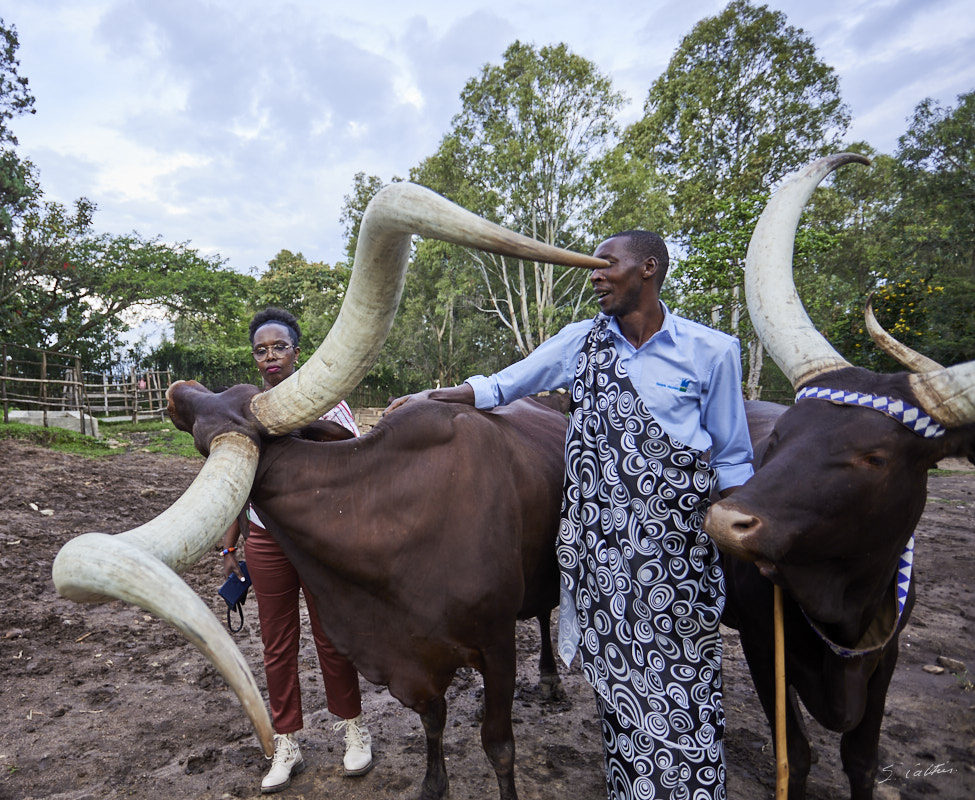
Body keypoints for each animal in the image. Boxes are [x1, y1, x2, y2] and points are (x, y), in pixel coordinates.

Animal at [704, 152, 975, 800]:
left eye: (876, 458)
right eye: (781, 435)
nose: (726, 522)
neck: (842, 606)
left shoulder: (888, 658)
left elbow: (862, 758)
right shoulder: (764, 645)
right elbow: (796, 756)